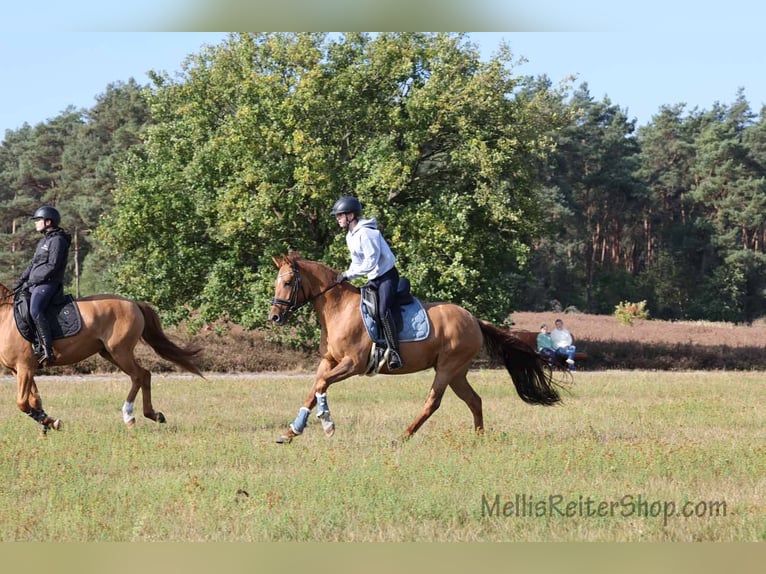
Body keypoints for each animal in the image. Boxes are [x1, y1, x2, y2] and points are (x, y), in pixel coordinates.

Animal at [0, 283, 204, 433]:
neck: (5, 317)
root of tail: (133, 303)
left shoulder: (25, 367)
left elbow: (21, 403)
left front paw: (49, 422)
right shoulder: (20, 370)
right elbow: (34, 400)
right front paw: (48, 422)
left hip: (120, 351)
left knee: (139, 375)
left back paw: (129, 416)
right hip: (109, 353)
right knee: (144, 375)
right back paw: (153, 415)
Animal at [268, 254, 560, 443]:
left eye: (287, 283)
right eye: (276, 283)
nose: (274, 317)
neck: (339, 308)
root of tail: (474, 320)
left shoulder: (353, 364)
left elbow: (321, 385)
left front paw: (328, 424)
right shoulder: (330, 360)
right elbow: (314, 388)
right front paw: (291, 432)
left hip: (447, 368)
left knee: (433, 402)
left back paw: (403, 437)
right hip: (457, 373)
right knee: (474, 400)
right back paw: (479, 438)